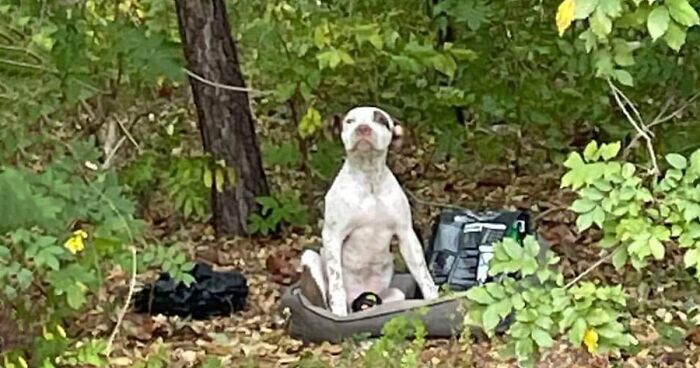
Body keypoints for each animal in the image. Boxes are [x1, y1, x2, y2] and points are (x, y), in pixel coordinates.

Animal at [300, 105, 438, 316]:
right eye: (350, 121)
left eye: (381, 120)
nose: (363, 128)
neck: (369, 178)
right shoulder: (333, 235)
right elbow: (336, 283)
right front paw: (339, 313)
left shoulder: (406, 234)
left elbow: (424, 275)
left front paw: (434, 299)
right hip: (310, 258)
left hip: (394, 295)